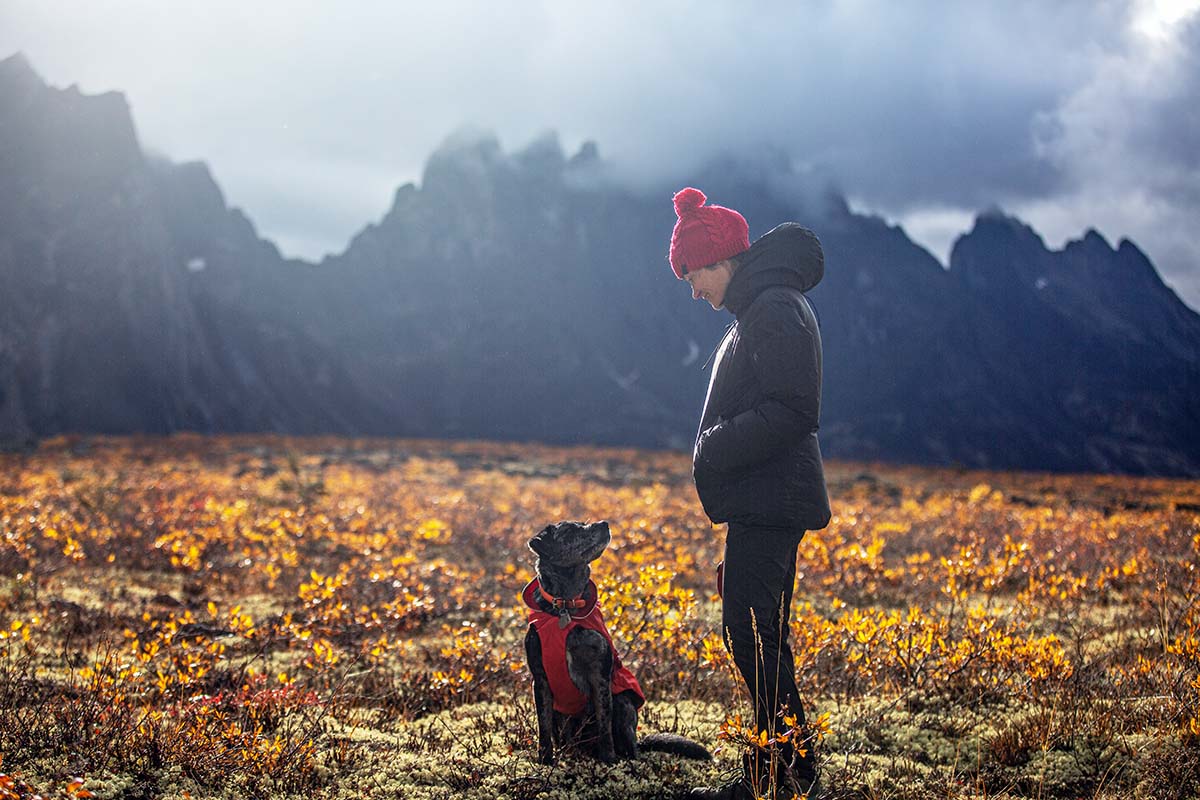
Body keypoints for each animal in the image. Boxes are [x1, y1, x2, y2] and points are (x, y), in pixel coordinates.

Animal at [520, 522, 705, 767]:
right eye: (570, 530)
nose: (604, 524)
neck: (565, 606)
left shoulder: (600, 675)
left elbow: (604, 724)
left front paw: (608, 760)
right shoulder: (540, 679)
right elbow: (543, 726)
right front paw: (545, 761)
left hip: (623, 703)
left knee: (628, 744)